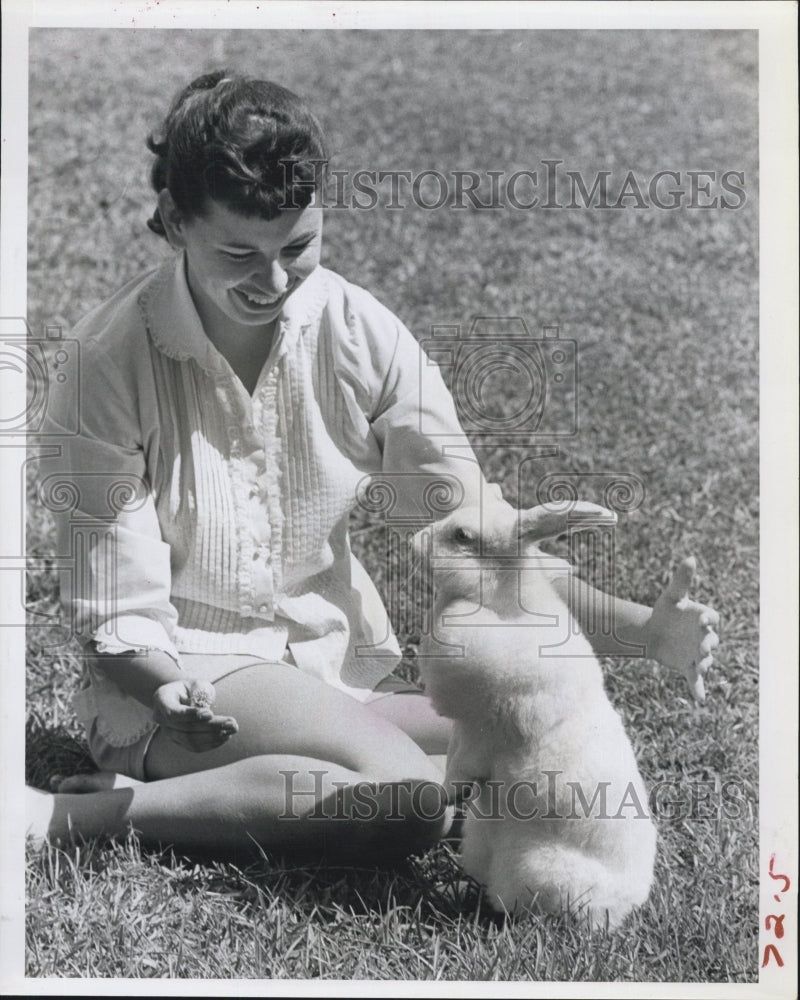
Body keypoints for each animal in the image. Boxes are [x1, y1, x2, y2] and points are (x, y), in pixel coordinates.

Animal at [418, 500, 656, 928]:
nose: (416, 541)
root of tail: (626, 903)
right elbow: (454, 759)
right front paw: (446, 794)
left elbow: (465, 765)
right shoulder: (464, 729)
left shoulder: (487, 730)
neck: (500, 606)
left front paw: (449, 794)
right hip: (482, 839)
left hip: (537, 869)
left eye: (462, 536)